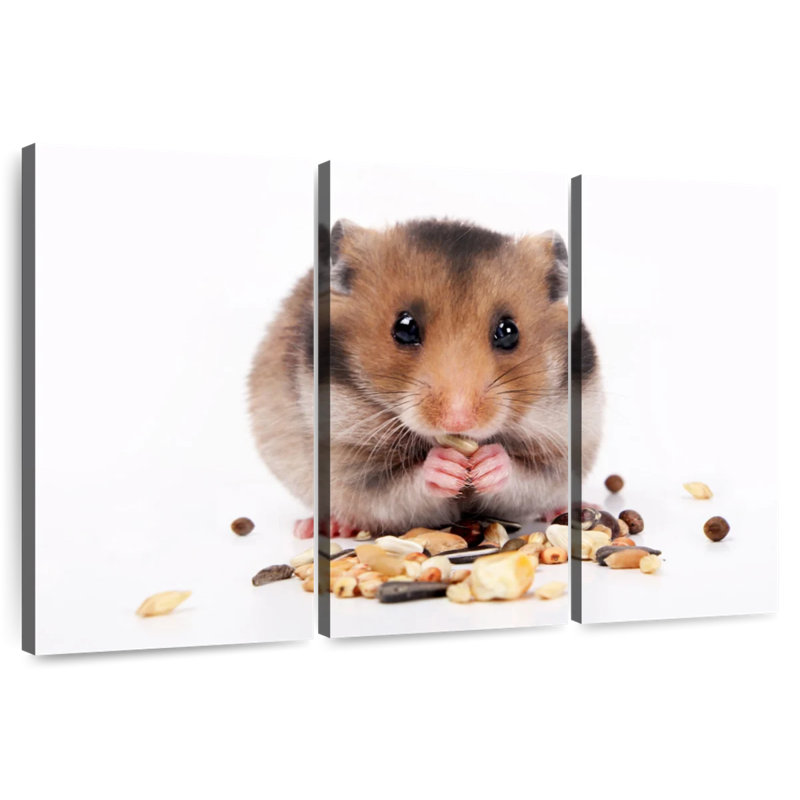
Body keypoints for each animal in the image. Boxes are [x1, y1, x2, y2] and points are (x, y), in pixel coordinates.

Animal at [249, 218, 603, 538]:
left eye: (508, 331)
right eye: (404, 328)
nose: (458, 421)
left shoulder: (568, 438)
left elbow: (527, 474)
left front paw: (488, 463)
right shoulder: (348, 459)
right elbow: (402, 483)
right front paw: (445, 466)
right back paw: (322, 527)